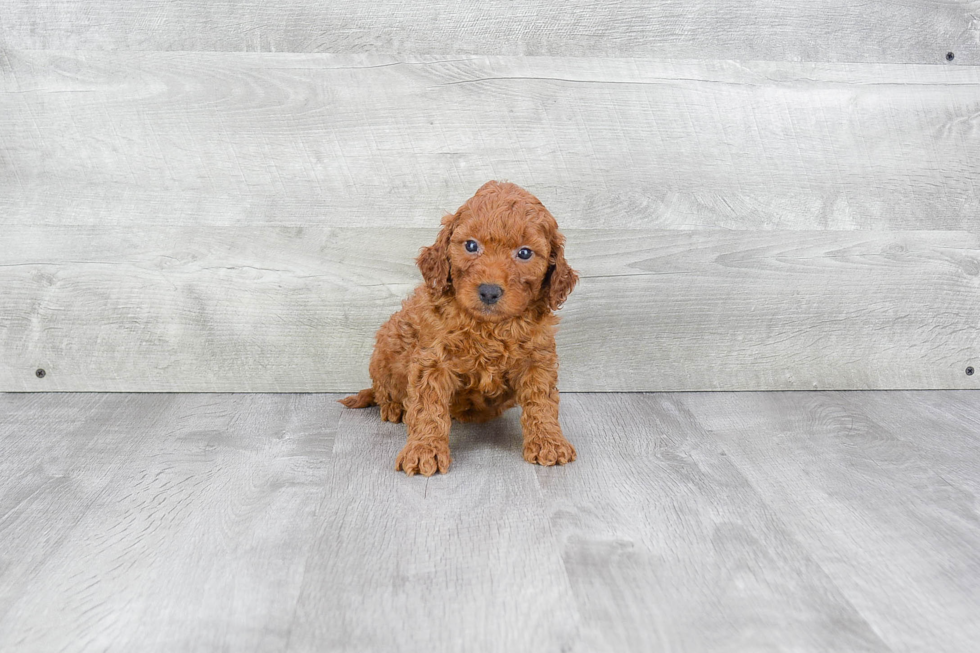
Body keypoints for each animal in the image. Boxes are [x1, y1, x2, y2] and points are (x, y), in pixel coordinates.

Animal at [340, 181, 580, 476]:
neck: (489, 327)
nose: (489, 291)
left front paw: (549, 441)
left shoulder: (537, 359)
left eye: (524, 253)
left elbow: (542, 402)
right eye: (471, 245)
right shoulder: (433, 360)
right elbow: (427, 408)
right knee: (383, 389)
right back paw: (395, 407)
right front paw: (424, 450)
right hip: (385, 348)